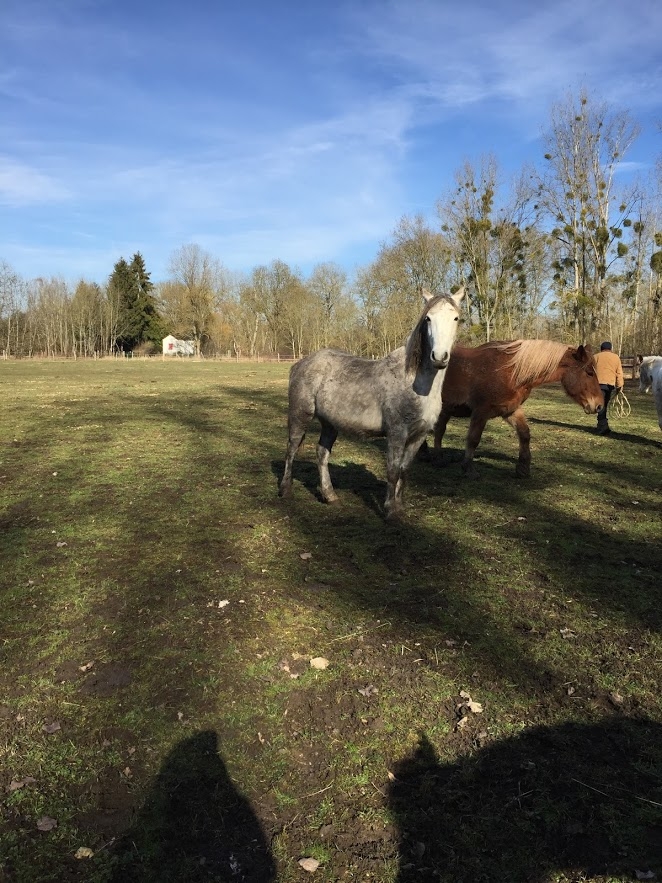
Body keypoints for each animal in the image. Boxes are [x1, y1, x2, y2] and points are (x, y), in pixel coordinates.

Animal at [278, 287, 465, 520]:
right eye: (428, 318)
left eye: (456, 318)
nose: (439, 357)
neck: (414, 383)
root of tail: (301, 363)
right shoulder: (397, 433)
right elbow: (392, 470)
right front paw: (390, 512)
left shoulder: (419, 436)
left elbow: (404, 471)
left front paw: (399, 507)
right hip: (300, 415)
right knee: (291, 450)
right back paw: (286, 491)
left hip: (330, 423)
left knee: (322, 453)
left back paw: (330, 496)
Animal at [418, 339, 604, 477]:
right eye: (589, 372)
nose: (599, 405)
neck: (511, 372)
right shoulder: (480, 412)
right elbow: (473, 439)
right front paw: (468, 468)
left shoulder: (510, 410)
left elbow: (524, 434)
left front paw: (523, 468)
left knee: (438, 430)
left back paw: (434, 458)